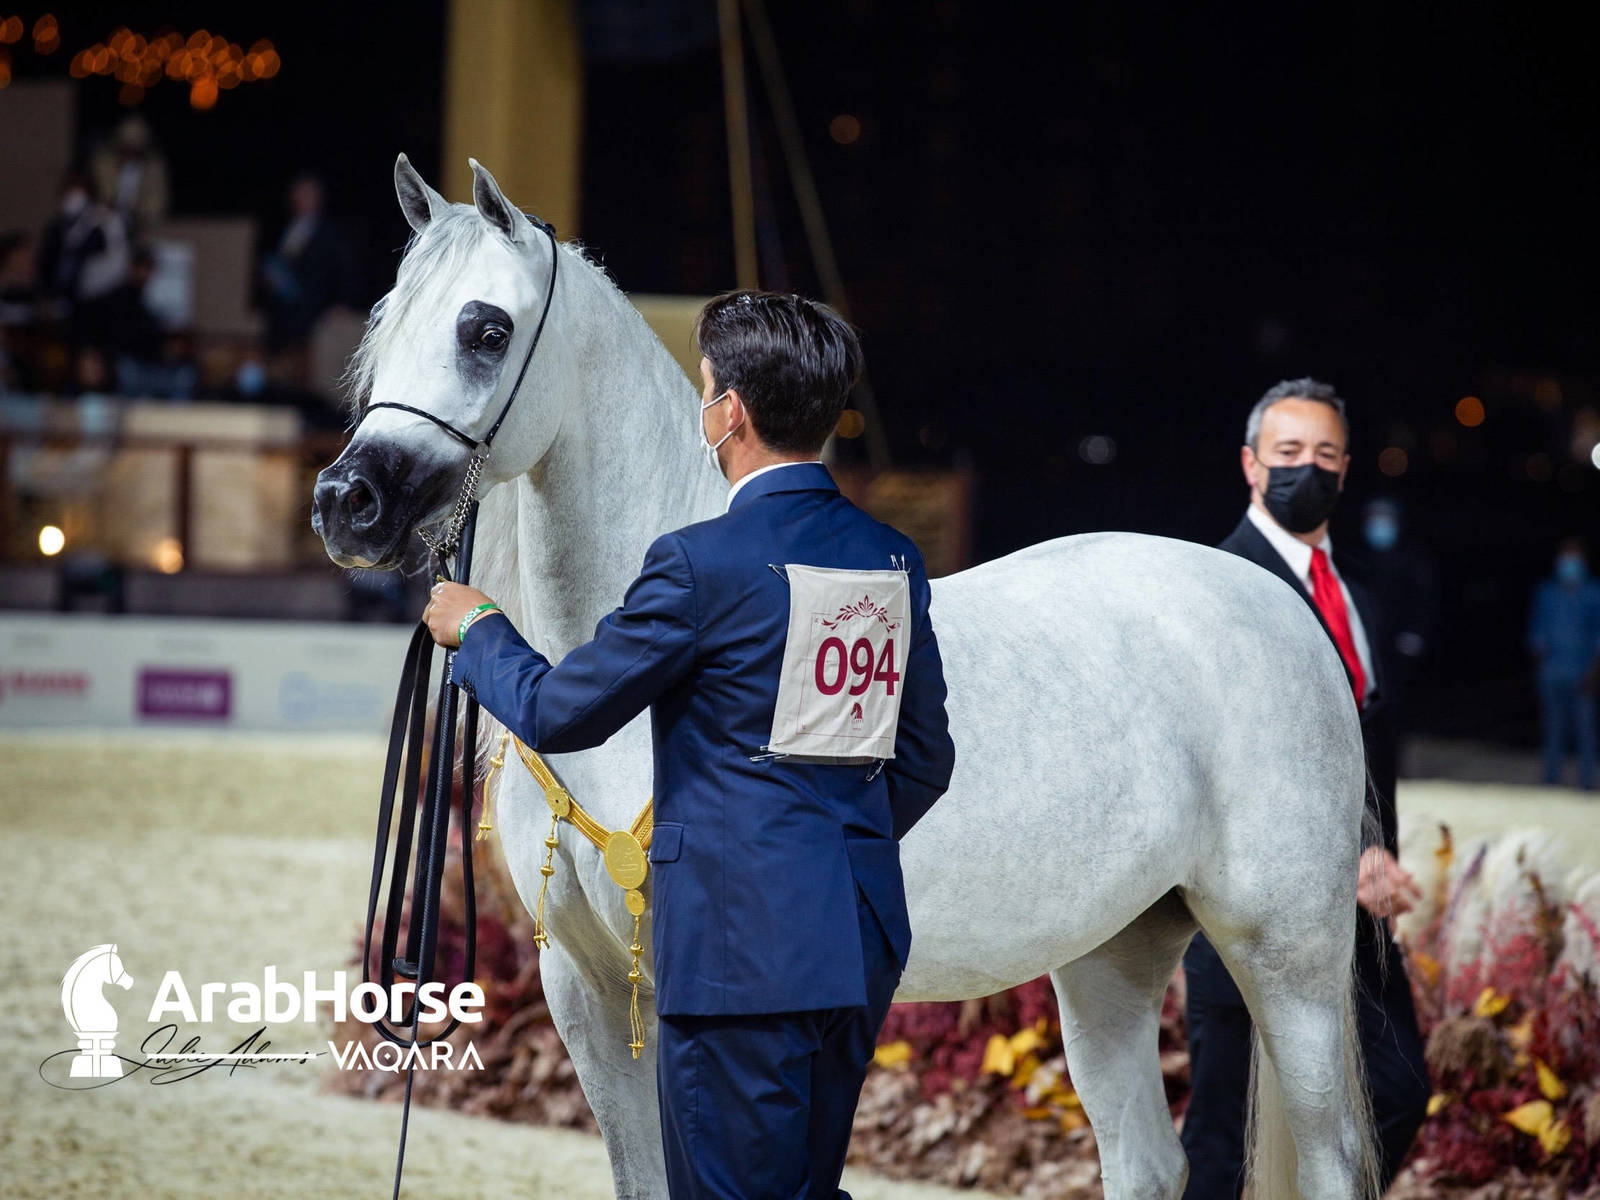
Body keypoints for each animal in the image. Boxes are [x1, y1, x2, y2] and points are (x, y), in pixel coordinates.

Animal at [312, 154, 1380, 1200]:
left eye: (486, 330)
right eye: (387, 319)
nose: (348, 501)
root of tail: (1284, 605)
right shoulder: (588, 993)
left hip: (1287, 956)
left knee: (1326, 1156)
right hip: (1111, 954)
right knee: (1147, 1161)